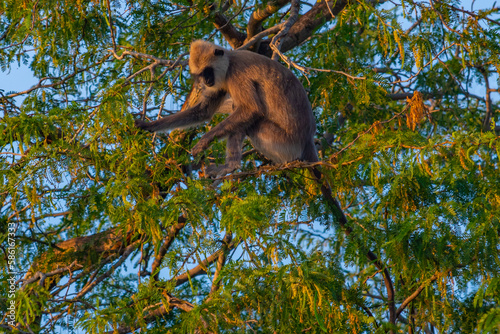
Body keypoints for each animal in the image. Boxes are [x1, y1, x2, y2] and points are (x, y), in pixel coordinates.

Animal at [135, 40, 318, 176]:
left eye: (208, 71)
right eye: (201, 75)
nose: (206, 81)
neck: (230, 60)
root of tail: (307, 139)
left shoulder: (236, 73)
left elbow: (252, 110)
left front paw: (203, 142)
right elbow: (204, 111)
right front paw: (147, 126)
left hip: (284, 142)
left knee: (251, 121)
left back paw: (231, 167)